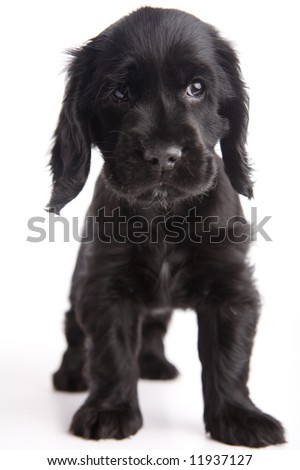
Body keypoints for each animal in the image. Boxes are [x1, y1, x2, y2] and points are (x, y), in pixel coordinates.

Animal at [48, 8, 284, 448]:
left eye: (196, 88)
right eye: (119, 93)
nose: (163, 156)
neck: (162, 216)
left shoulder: (232, 289)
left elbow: (229, 358)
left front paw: (239, 416)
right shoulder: (103, 287)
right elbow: (110, 354)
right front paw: (109, 410)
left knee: (154, 327)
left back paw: (154, 364)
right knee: (75, 334)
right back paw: (71, 373)